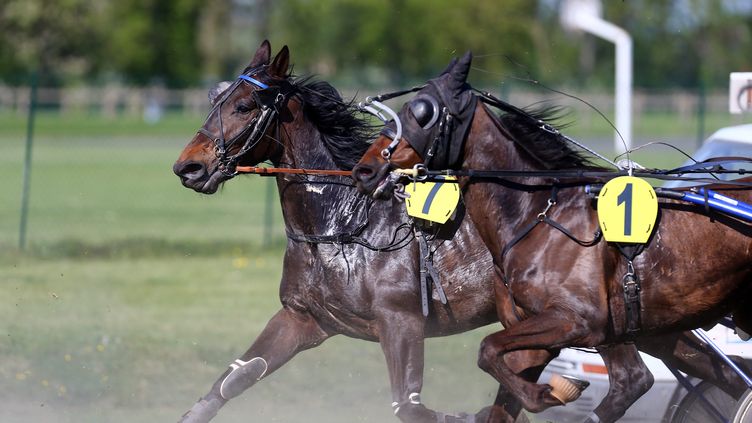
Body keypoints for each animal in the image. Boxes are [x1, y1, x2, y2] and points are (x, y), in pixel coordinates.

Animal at [172, 39, 564, 423]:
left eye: (244, 105)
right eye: (215, 98)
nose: (188, 167)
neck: (343, 225)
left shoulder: (401, 322)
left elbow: (410, 405)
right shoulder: (301, 318)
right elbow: (232, 381)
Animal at [352, 52, 752, 420]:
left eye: (422, 112)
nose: (365, 170)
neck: (535, 214)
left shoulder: (578, 320)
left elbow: (490, 349)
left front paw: (548, 394)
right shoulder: (541, 328)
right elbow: (497, 368)